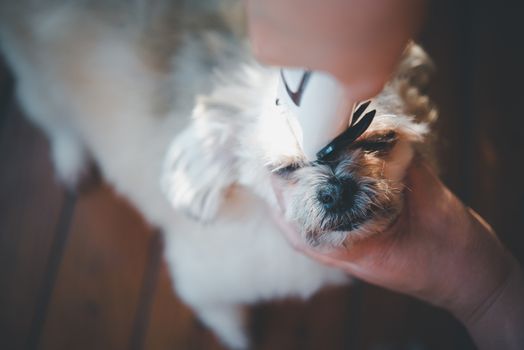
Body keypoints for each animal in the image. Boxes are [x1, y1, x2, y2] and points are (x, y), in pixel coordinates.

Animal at [0, 1, 434, 348]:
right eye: (285, 168)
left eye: (381, 141)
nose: (337, 190)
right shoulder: (202, 281)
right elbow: (225, 318)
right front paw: (240, 337)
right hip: (38, 79)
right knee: (55, 119)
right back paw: (72, 160)